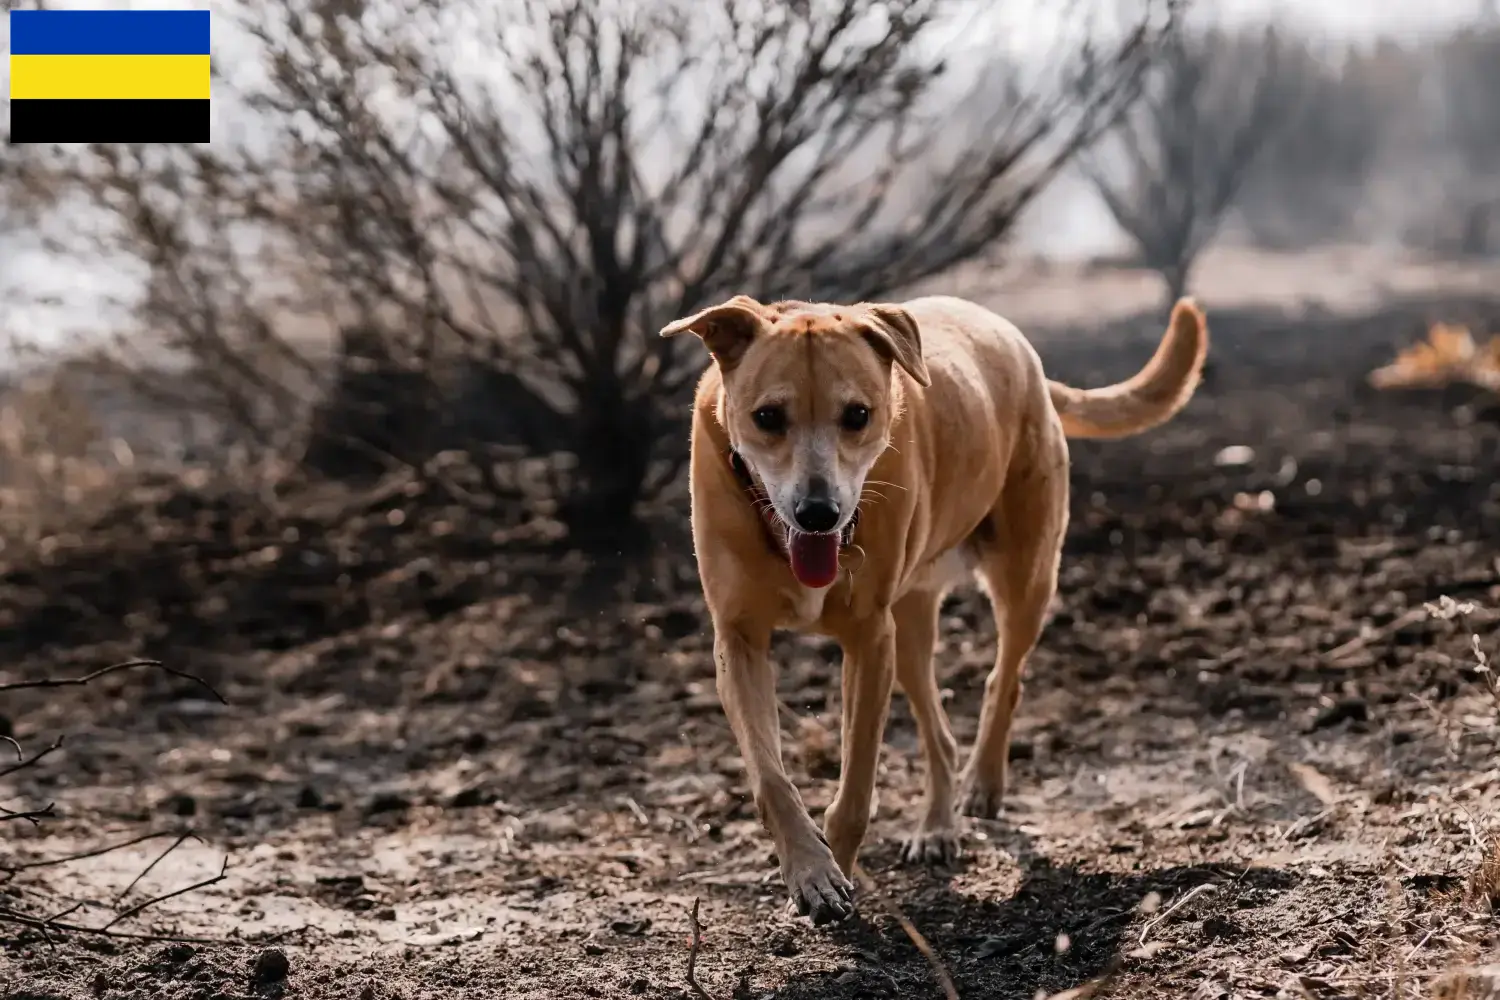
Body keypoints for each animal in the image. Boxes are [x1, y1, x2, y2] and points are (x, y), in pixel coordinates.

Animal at [657, 293, 1206, 929]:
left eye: (858, 415)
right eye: (768, 417)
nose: (819, 512)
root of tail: (1020, 347)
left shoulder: (869, 641)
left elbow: (855, 789)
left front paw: (837, 871)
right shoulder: (739, 640)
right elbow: (770, 776)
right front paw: (811, 872)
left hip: (1024, 576)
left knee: (1004, 678)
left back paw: (982, 784)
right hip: (913, 623)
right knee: (936, 727)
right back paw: (939, 825)